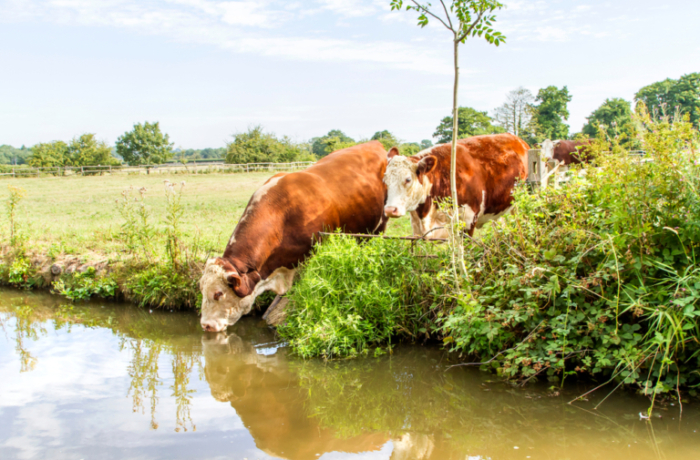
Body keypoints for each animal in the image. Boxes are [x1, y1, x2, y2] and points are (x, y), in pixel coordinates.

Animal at [380, 133, 528, 239]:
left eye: (408, 179)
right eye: (385, 179)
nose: (390, 210)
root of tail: (518, 140)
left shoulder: (468, 221)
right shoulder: (417, 227)